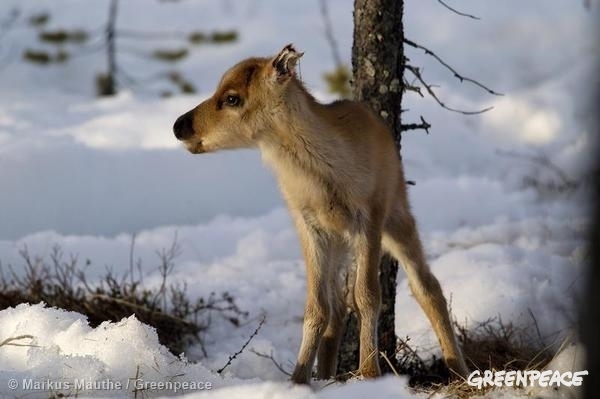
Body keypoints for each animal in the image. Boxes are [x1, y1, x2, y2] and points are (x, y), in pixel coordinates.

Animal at [173, 44, 468, 384]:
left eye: (232, 97)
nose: (179, 126)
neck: (321, 177)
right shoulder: (309, 226)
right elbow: (316, 307)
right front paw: (298, 379)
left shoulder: (369, 216)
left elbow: (368, 295)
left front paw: (369, 373)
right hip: (339, 241)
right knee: (337, 306)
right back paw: (326, 374)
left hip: (397, 214)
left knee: (427, 286)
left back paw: (459, 370)